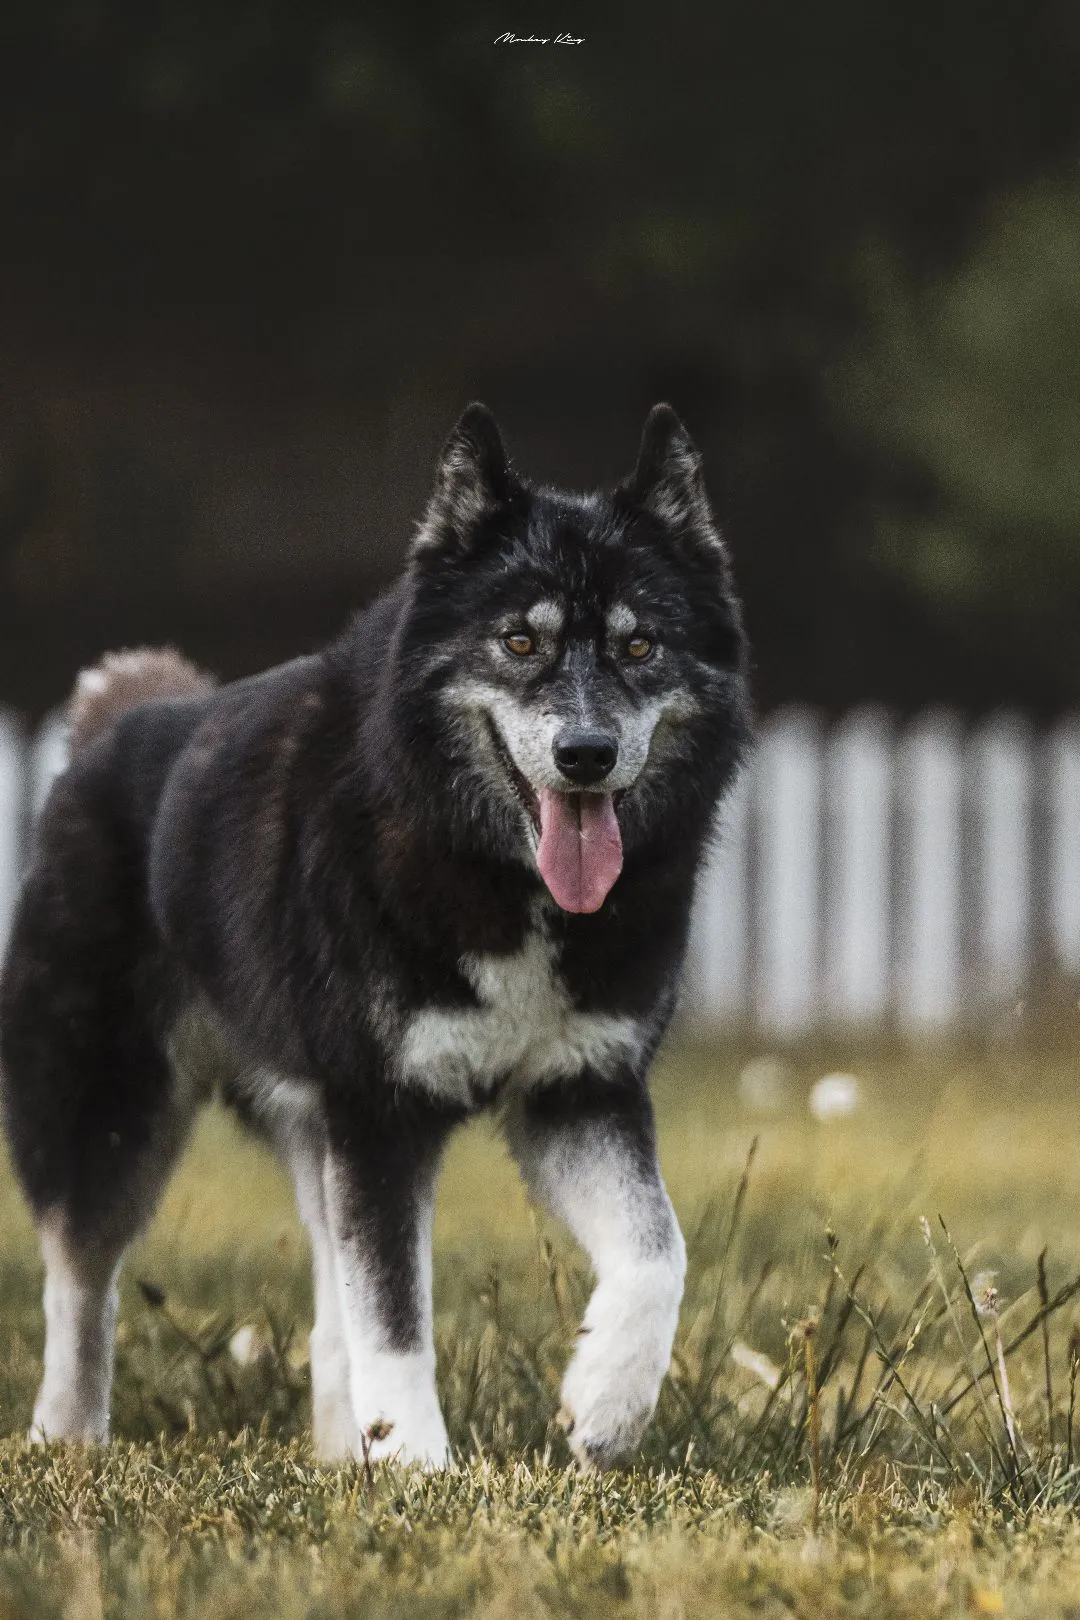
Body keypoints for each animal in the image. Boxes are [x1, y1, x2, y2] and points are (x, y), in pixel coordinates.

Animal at [0, 401, 751, 1470]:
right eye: (519, 641)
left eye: (640, 646)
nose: (587, 755)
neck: (498, 880)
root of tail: (115, 726)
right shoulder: (380, 1113)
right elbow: (394, 1317)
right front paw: (420, 1471)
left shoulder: (579, 1092)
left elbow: (657, 1252)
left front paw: (607, 1404)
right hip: (103, 1107)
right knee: (78, 1282)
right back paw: (68, 1439)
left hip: (306, 1129)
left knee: (322, 1317)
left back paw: (336, 1451)